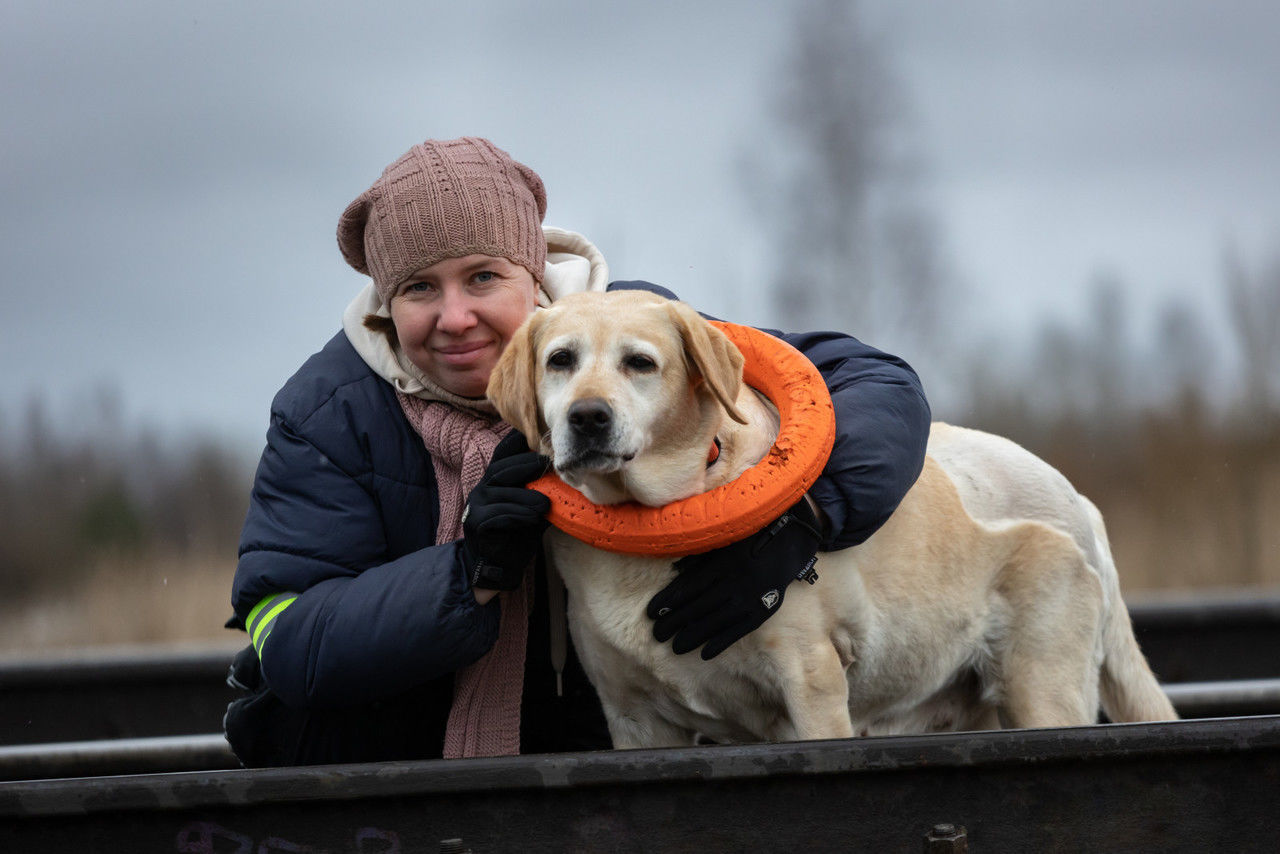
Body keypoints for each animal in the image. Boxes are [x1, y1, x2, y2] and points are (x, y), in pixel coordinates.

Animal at [483, 289, 1172, 747]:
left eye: (640, 363)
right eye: (561, 360)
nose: (587, 417)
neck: (648, 525)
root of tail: (1077, 500)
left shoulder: (809, 682)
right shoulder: (633, 717)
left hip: (1044, 692)